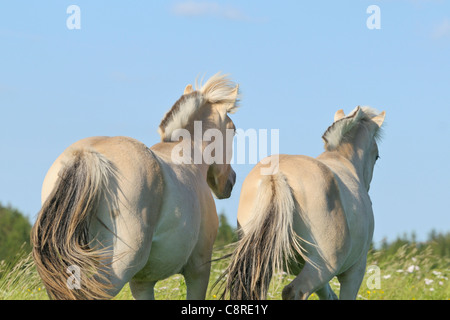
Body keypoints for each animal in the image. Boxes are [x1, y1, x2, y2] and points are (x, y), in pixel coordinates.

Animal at [223, 107, 384, 300]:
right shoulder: (355, 271)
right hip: (323, 266)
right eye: (377, 156)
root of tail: (276, 175)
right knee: (294, 291)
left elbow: (328, 295)